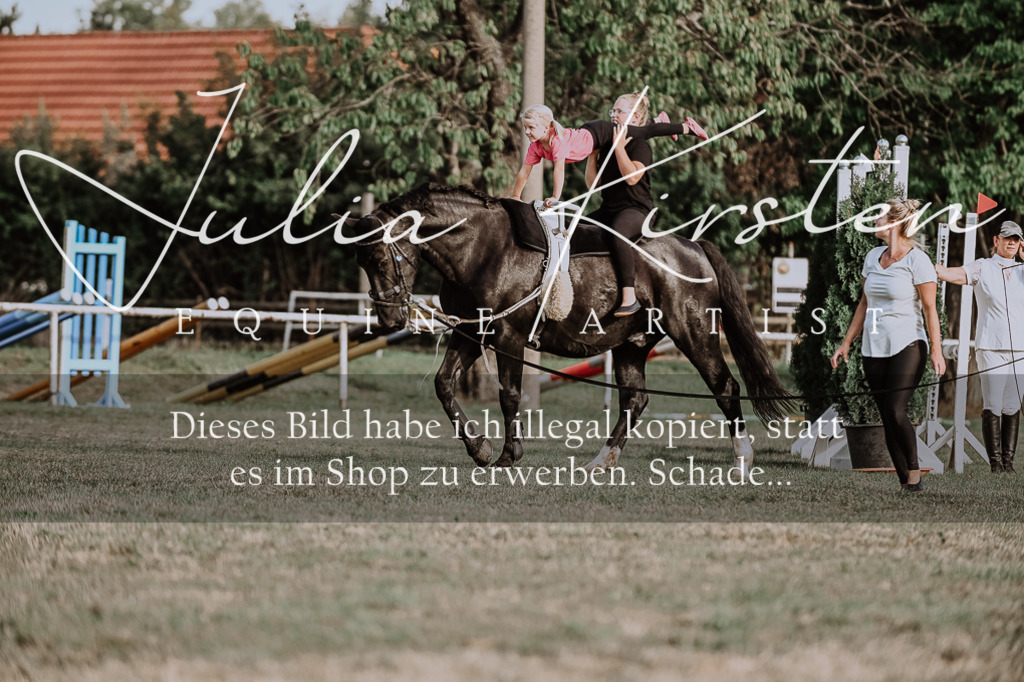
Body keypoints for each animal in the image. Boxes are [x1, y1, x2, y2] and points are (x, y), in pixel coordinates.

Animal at [352, 183, 794, 471]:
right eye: (363, 261)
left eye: (381, 257)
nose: (389, 318)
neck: (483, 248)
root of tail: (693, 247)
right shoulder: (475, 334)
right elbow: (445, 385)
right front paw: (479, 448)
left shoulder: (508, 337)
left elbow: (509, 395)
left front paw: (509, 455)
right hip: (632, 343)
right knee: (634, 400)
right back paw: (601, 461)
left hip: (695, 332)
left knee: (725, 388)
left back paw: (742, 460)